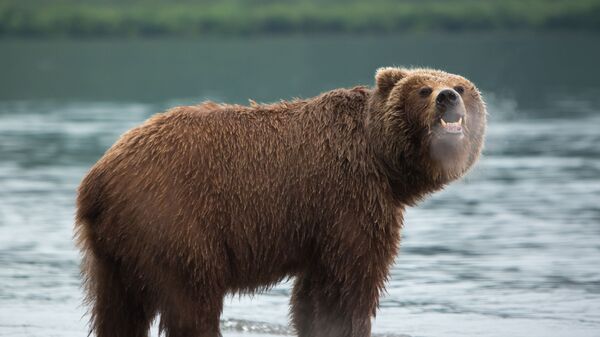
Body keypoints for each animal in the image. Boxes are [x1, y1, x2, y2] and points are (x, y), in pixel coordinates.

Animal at [75, 67, 488, 336]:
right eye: (423, 89)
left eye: (459, 86)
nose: (447, 97)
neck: (381, 157)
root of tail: (97, 178)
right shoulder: (349, 197)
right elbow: (351, 281)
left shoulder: (321, 224)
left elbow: (313, 294)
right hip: (174, 216)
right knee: (193, 298)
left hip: (114, 251)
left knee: (117, 310)